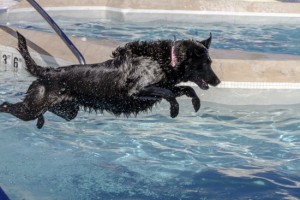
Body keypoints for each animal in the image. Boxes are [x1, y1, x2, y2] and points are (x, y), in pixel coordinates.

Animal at [0, 31, 220, 128]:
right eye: (205, 63)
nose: (218, 82)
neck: (165, 60)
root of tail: (46, 72)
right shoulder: (137, 91)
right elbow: (168, 92)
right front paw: (174, 109)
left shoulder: (163, 87)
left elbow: (185, 89)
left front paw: (196, 103)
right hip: (31, 108)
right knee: (6, 106)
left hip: (69, 110)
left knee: (47, 112)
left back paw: (41, 121)